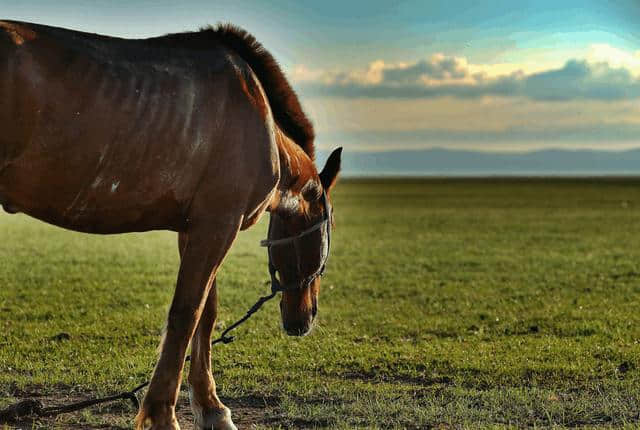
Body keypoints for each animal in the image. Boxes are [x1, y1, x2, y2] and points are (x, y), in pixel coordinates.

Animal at [0, 21, 342, 430]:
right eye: (328, 225)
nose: (306, 318)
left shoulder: (195, 228)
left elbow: (206, 315)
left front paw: (212, 408)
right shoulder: (218, 224)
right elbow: (186, 314)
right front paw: (162, 414)